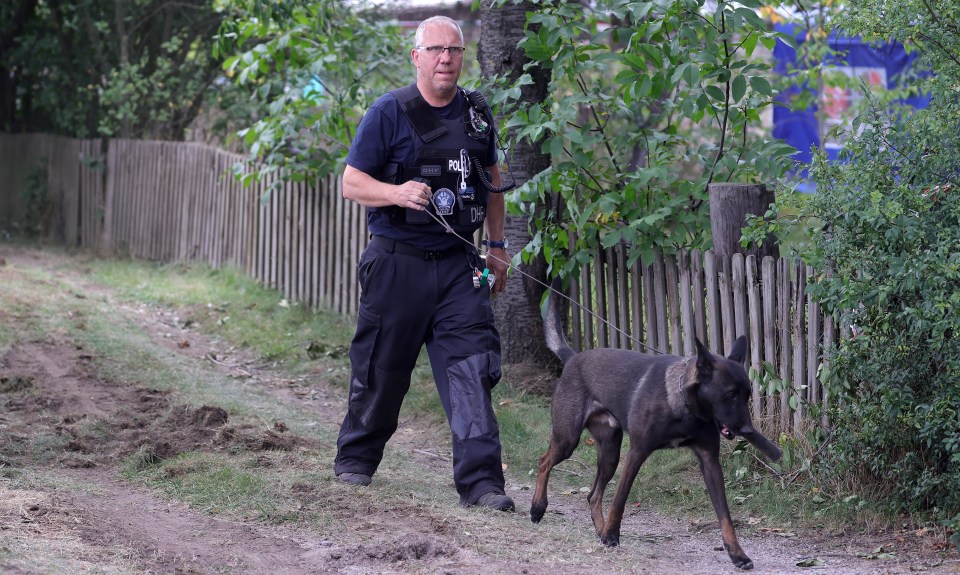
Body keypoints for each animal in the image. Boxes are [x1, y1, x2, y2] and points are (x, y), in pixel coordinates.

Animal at [528, 280, 784, 572]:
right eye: (730, 394)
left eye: (747, 394)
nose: (749, 431)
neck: (685, 407)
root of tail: (573, 358)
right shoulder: (636, 453)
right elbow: (620, 500)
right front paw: (613, 535)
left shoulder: (709, 462)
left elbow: (725, 516)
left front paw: (737, 553)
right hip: (568, 438)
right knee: (545, 461)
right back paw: (539, 507)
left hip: (610, 454)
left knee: (593, 496)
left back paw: (599, 531)